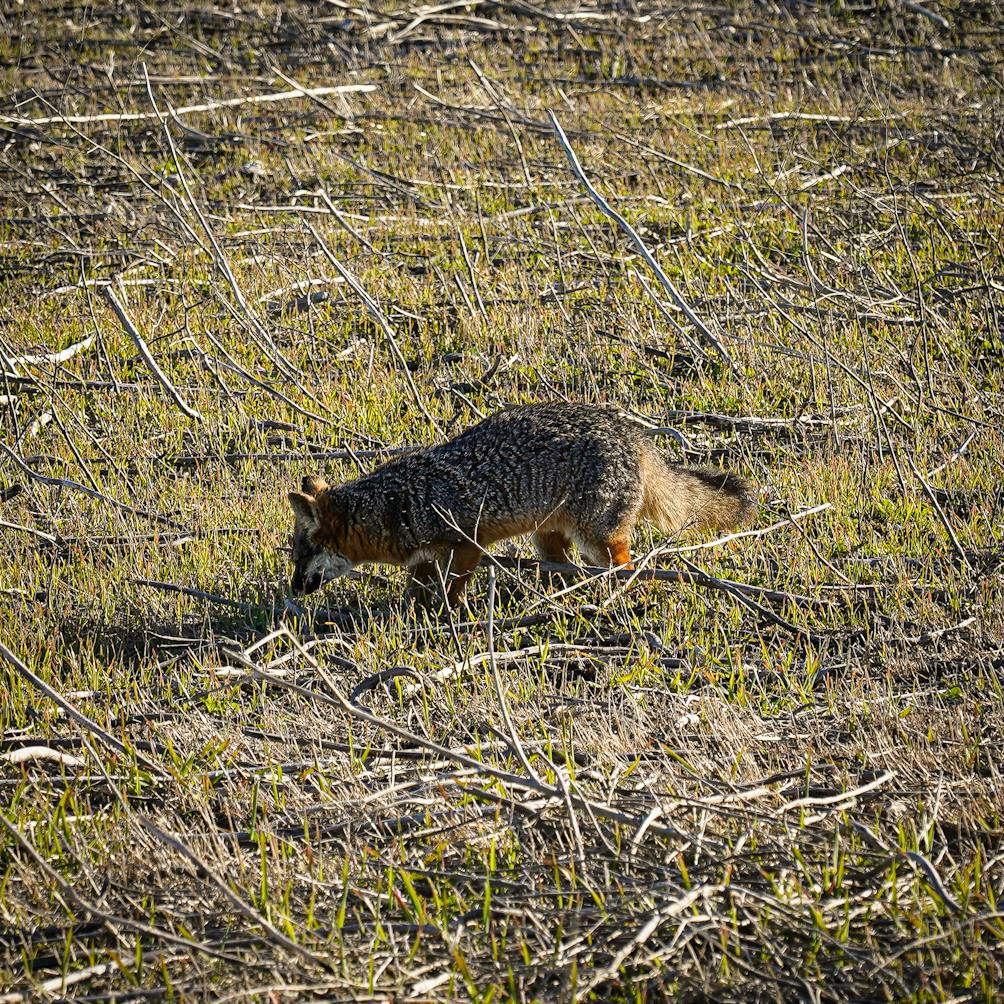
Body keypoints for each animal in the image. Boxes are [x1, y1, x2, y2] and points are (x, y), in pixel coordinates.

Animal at [285, 403, 755, 606]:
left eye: (301, 557)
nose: (292, 589)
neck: (397, 503)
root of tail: (634, 434)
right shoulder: (423, 559)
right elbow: (416, 591)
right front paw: (414, 613)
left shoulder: (466, 545)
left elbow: (451, 588)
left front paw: (446, 613)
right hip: (548, 539)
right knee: (564, 570)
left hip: (598, 539)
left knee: (626, 565)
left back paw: (616, 594)